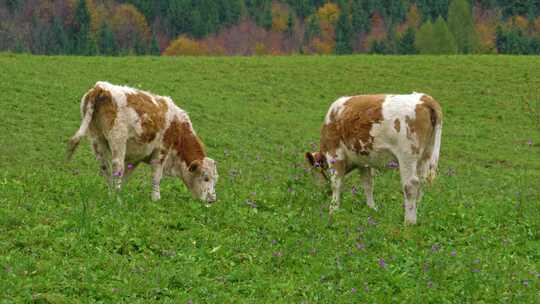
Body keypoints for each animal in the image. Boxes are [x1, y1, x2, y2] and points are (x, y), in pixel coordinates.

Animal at [66, 82, 218, 203]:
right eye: (205, 178)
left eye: (215, 179)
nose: (212, 200)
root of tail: (101, 87)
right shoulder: (161, 151)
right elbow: (156, 177)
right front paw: (156, 199)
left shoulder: (136, 157)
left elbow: (127, 175)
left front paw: (120, 191)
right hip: (118, 138)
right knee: (117, 166)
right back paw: (117, 198)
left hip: (96, 138)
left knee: (104, 167)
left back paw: (111, 194)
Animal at [308, 94, 442, 224]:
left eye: (314, 169)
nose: (319, 191)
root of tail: (425, 97)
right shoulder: (363, 161)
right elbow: (368, 184)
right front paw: (371, 208)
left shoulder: (335, 154)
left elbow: (336, 183)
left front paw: (333, 209)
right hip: (425, 155)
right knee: (422, 183)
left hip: (407, 156)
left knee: (411, 185)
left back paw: (409, 222)